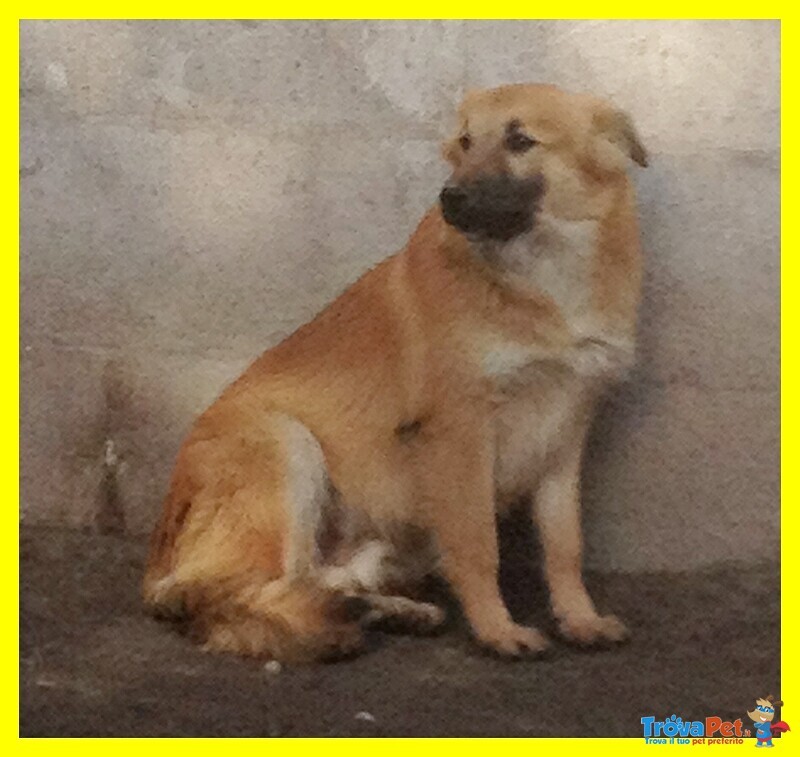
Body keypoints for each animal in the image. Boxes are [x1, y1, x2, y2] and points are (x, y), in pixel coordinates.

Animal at [144, 84, 648, 660]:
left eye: (520, 140)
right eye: (466, 142)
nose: (450, 197)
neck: (542, 272)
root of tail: (157, 567)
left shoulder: (565, 438)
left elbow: (565, 547)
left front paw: (579, 618)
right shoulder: (461, 431)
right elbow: (479, 545)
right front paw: (496, 630)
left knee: (316, 580)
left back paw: (383, 609)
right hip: (285, 443)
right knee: (244, 590)